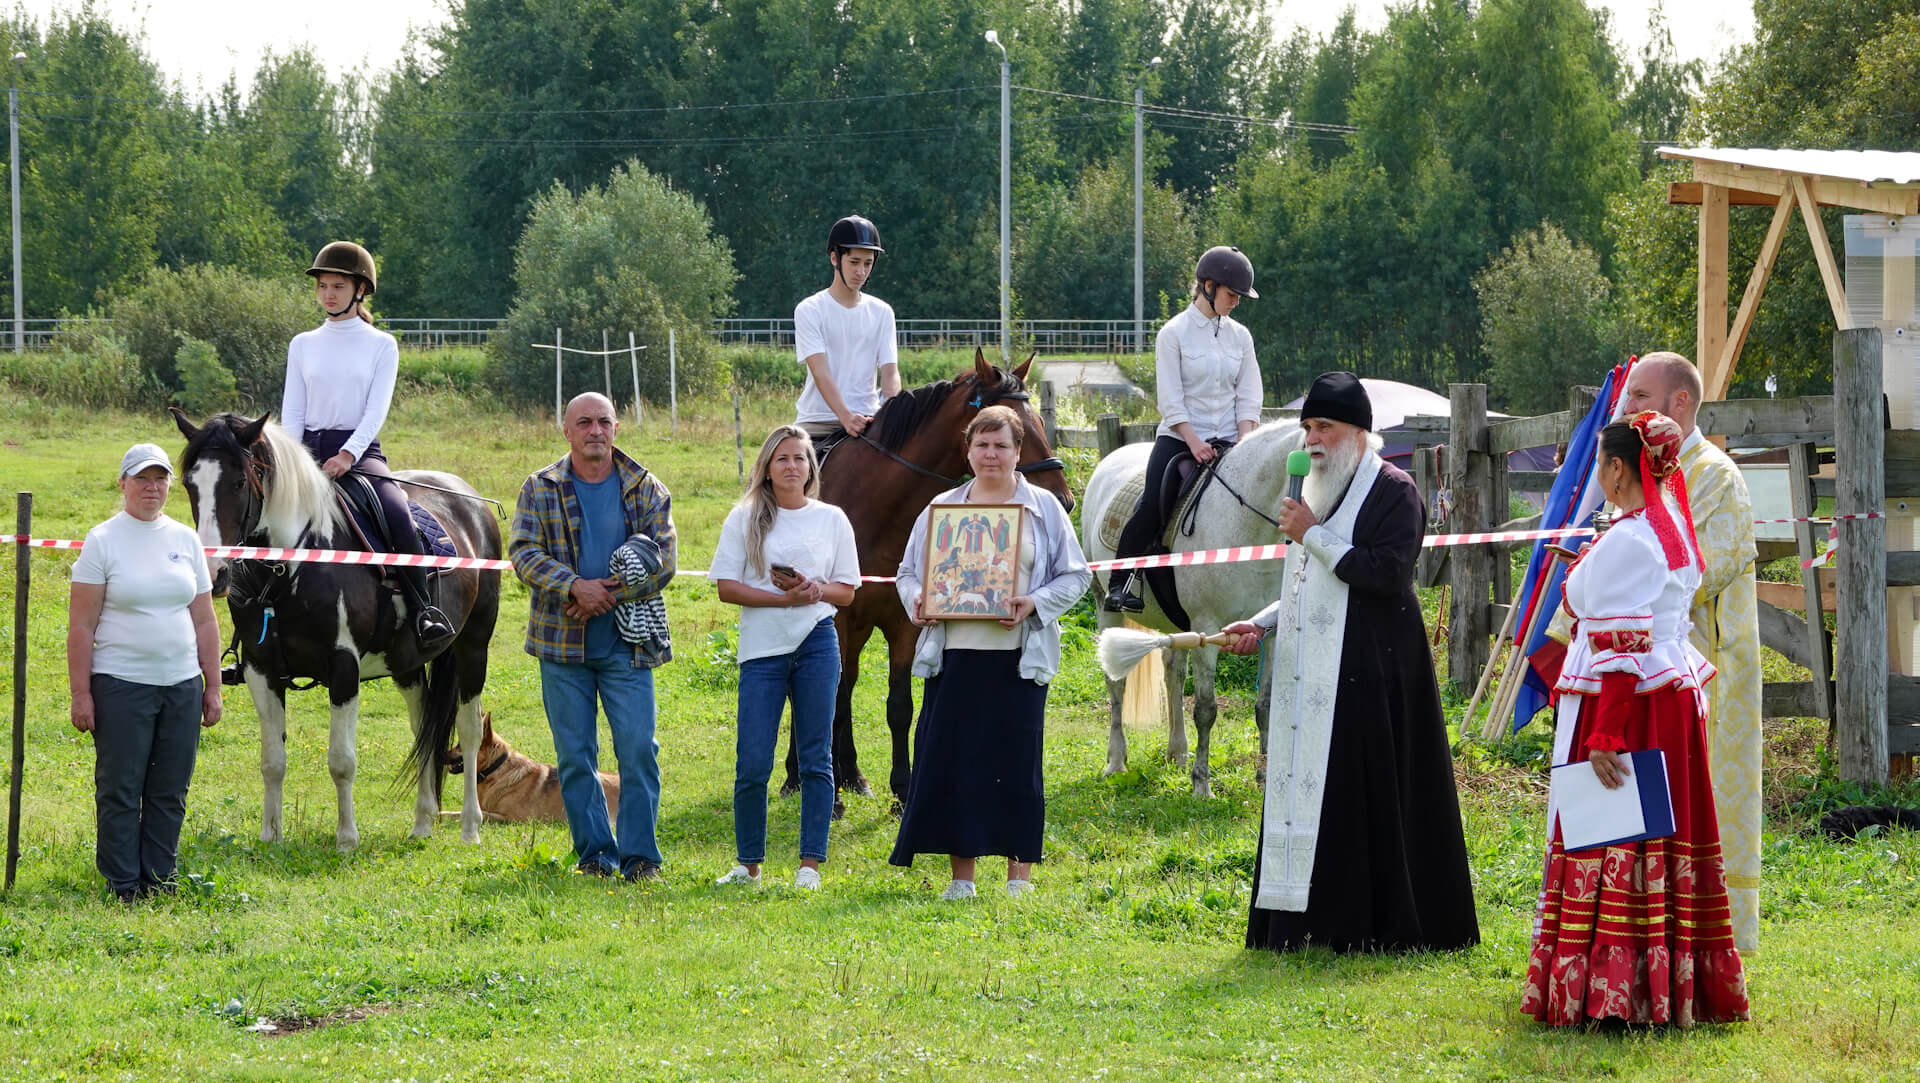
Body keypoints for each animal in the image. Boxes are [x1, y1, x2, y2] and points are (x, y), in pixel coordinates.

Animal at [172, 410, 499, 848]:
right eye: (190, 483)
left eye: (239, 482)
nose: (213, 572)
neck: (291, 568)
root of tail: (469, 499)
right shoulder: (261, 669)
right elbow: (272, 761)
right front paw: (270, 835)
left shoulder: (344, 668)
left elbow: (341, 761)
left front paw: (346, 838)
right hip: (407, 663)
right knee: (424, 728)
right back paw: (422, 823)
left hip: (473, 647)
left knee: (468, 729)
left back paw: (469, 827)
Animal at [783, 349, 1082, 802]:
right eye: (1010, 428)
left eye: (1033, 423)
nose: (1063, 500)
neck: (876, 509)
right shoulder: (837, 617)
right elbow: (825, 700)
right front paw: (830, 800)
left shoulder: (905, 620)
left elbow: (899, 707)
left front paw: (902, 790)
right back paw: (794, 777)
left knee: (847, 683)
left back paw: (852, 774)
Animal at [1082, 420, 1305, 794]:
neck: (1244, 525)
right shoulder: (1208, 627)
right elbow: (1205, 709)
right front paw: (1201, 784)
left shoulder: (1270, 632)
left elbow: (1265, 707)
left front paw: (1263, 778)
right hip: (1106, 606)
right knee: (1117, 684)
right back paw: (1116, 761)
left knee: (1172, 673)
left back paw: (1178, 752)